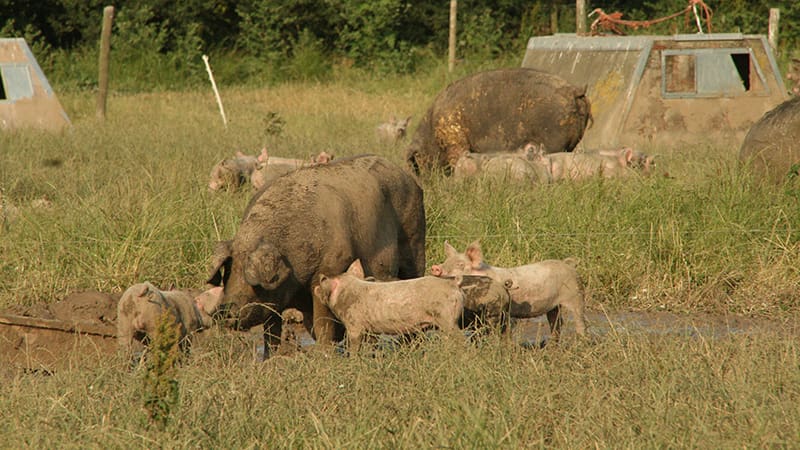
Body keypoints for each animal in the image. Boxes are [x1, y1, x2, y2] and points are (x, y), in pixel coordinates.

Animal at [208, 154, 426, 354]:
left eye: (250, 277)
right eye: (228, 272)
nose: (223, 310)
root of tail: (409, 177)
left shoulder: (329, 269)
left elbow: (323, 323)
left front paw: (324, 355)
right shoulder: (276, 299)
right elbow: (271, 331)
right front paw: (271, 359)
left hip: (415, 239)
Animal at [314, 259, 464, 353]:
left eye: (323, 281)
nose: (316, 285)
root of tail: (453, 284)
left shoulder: (354, 323)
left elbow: (354, 342)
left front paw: (352, 359)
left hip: (447, 317)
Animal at [406, 68, 591, 175]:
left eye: (419, 163)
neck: (431, 132)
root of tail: (574, 90)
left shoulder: (455, 142)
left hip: (553, 138)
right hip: (571, 142)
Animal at [430, 241, 586, 341]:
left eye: (460, 264)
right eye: (446, 262)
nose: (435, 267)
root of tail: (568, 264)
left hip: (576, 295)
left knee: (579, 321)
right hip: (553, 306)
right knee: (556, 323)